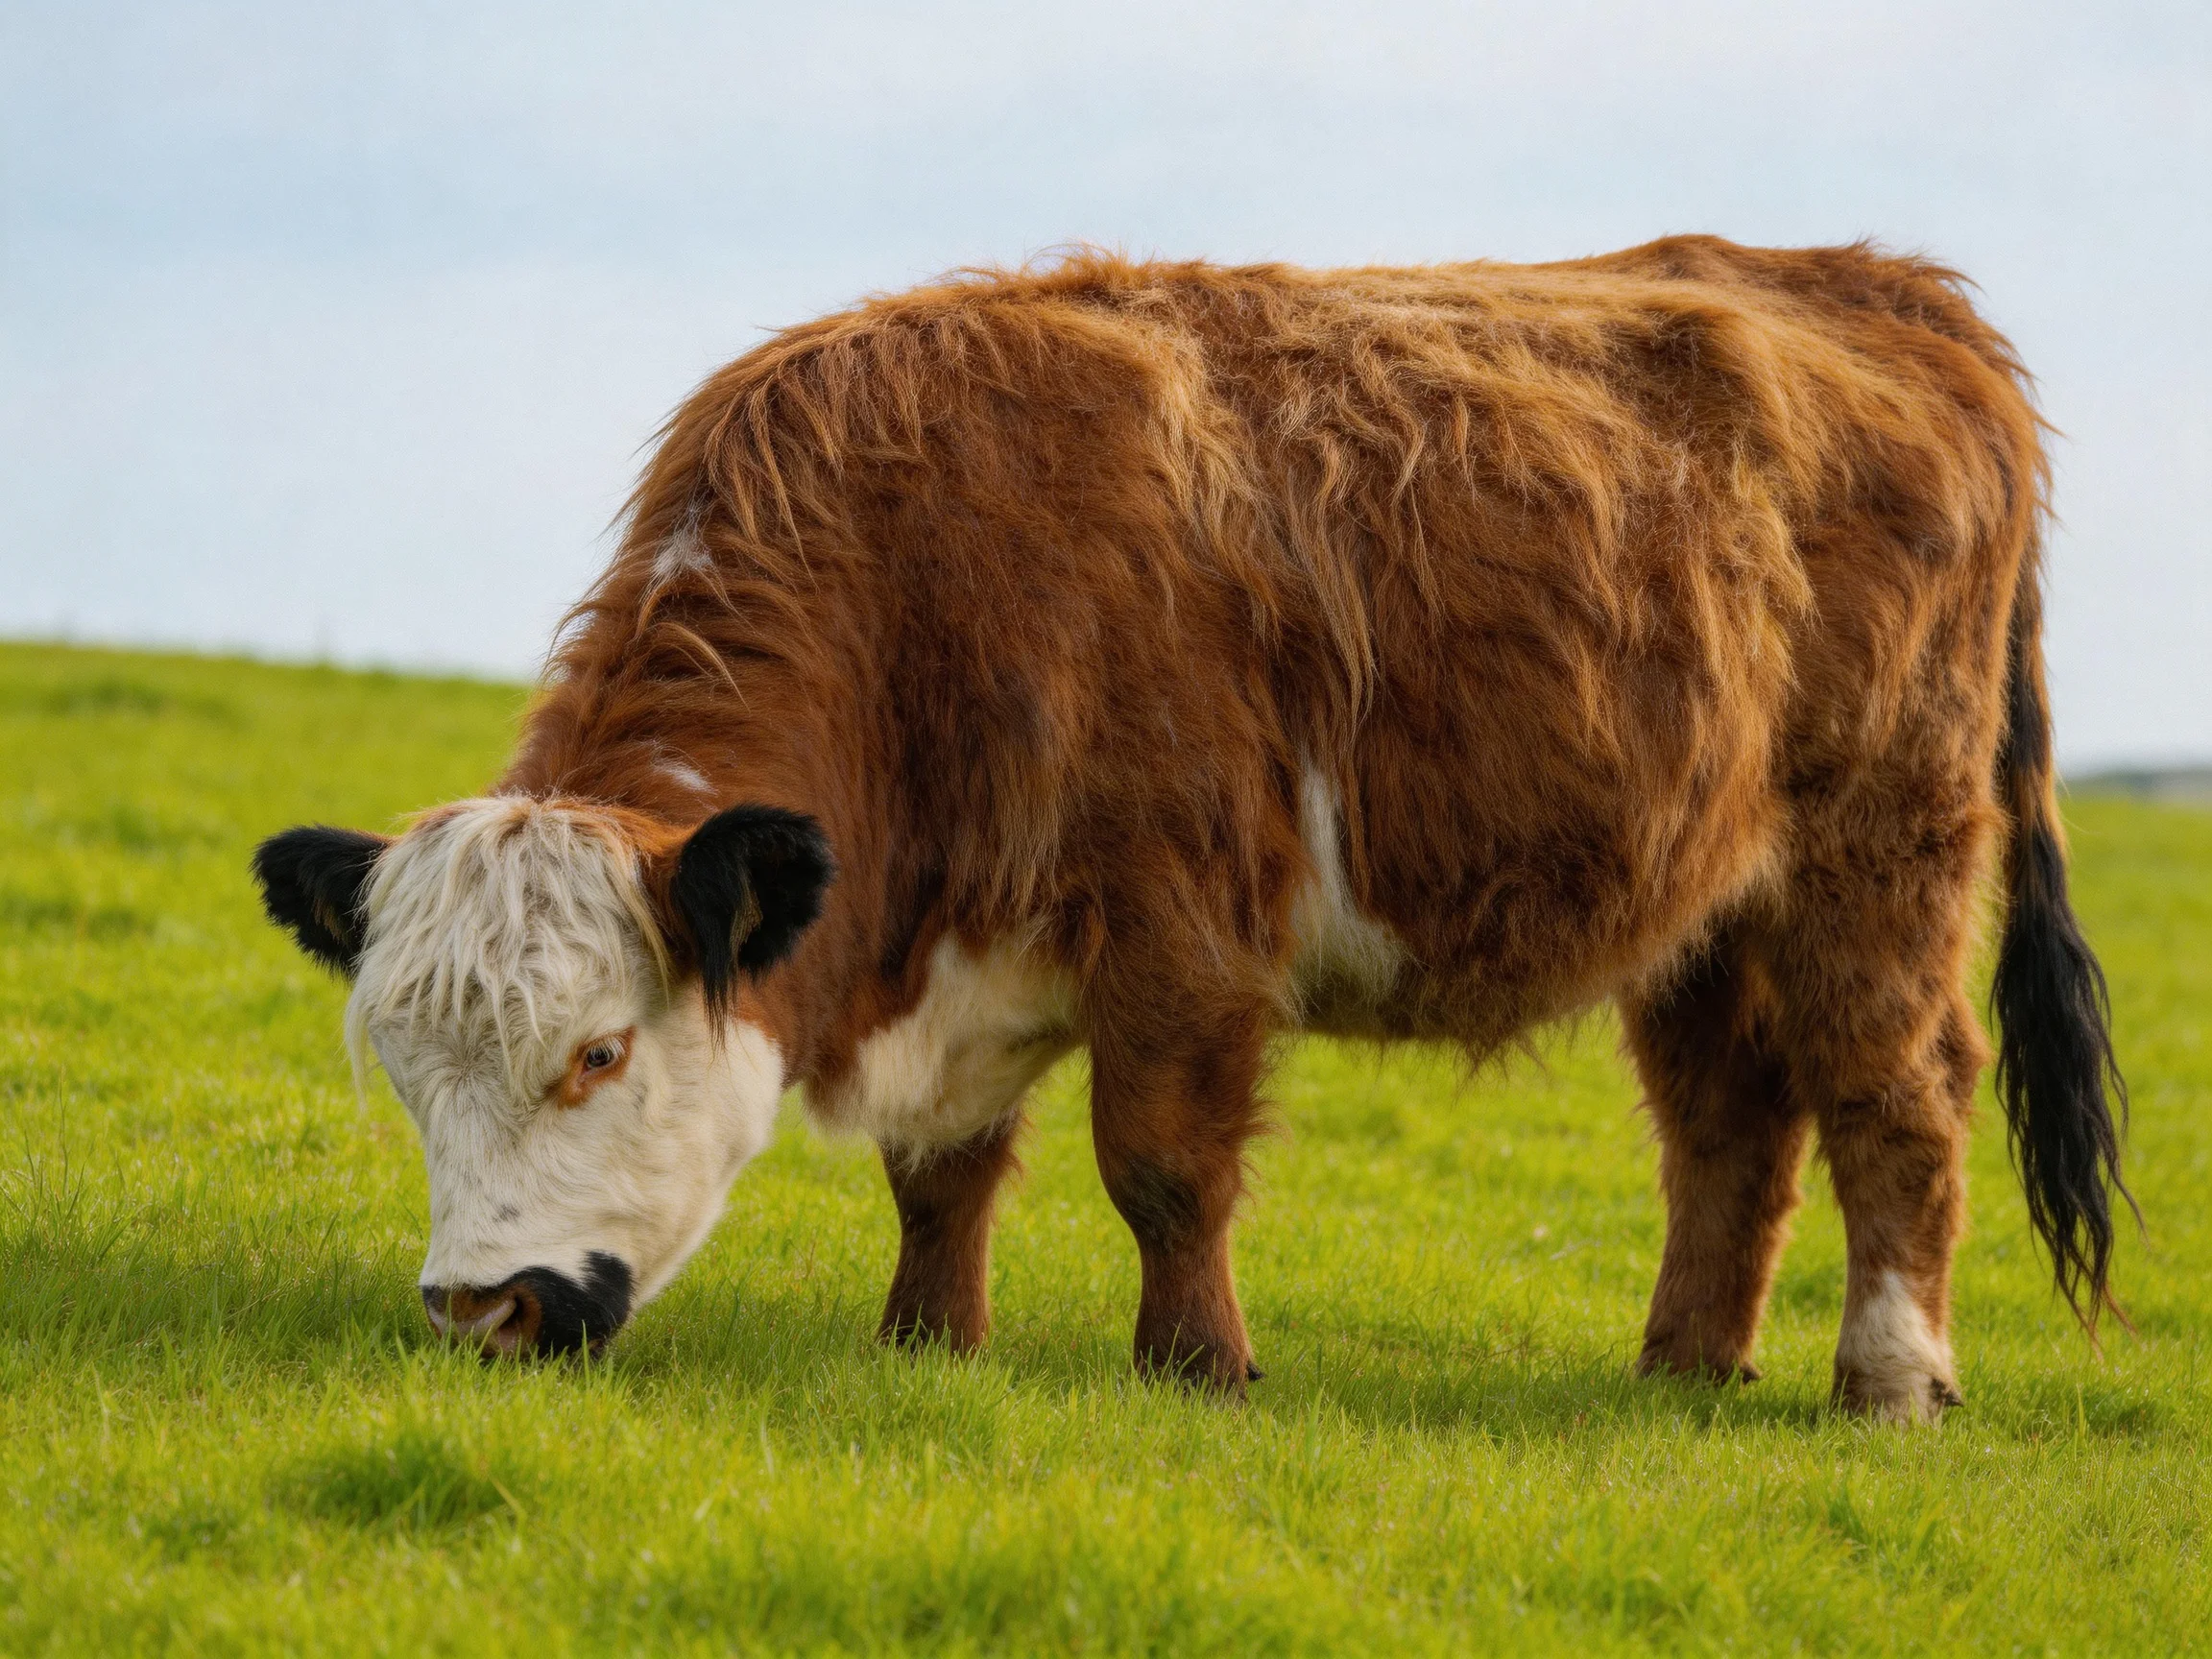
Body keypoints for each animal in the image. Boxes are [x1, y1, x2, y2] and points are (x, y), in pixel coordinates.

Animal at [254, 238, 2130, 1422]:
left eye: (595, 1052)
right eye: (404, 1071)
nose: (481, 1309)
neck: (937, 574)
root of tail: (1871, 280)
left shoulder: (1180, 930)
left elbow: (1158, 1166)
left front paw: (1197, 1367)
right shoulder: (967, 944)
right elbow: (943, 1171)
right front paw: (925, 1343)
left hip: (1877, 857)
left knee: (1895, 1095)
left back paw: (1887, 1381)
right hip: (1702, 901)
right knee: (1730, 1127)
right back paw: (1680, 1364)